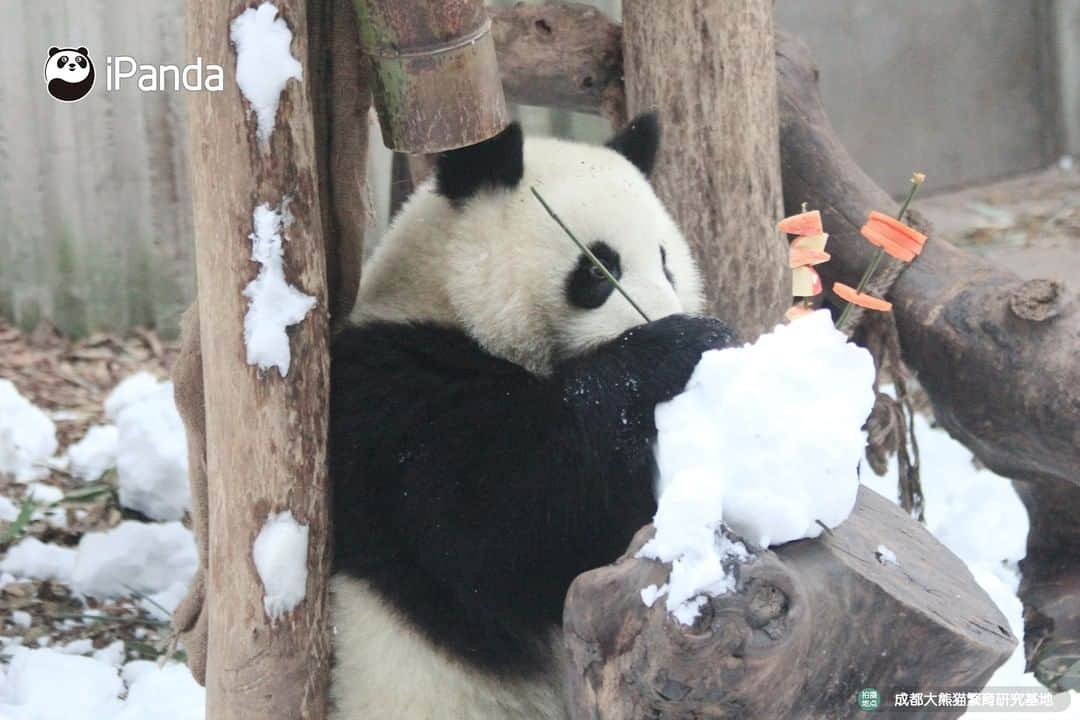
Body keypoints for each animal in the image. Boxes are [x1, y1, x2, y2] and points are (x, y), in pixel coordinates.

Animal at [326, 113, 734, 720]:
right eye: (597, 268)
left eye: (666, 262)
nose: (657, 314)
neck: (444, 302)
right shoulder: (396, 405)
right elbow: (504, 529)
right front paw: (677, 347)